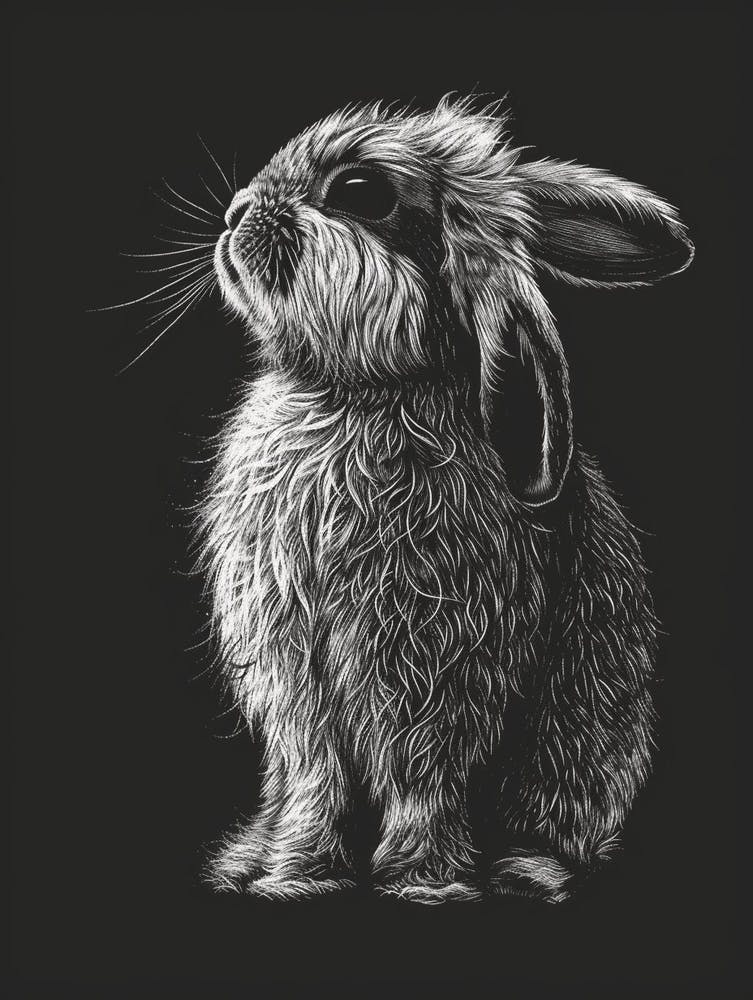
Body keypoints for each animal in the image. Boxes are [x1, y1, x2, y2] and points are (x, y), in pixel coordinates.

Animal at [199, 96, 693, 903]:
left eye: (361, 191)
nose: (237, 212)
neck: (360, 390)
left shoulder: (435, 669)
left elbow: (421, 778)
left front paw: (420, 884)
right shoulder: (294, 674)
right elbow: (316, 779)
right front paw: (297, 876)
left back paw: (525, 875)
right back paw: (242, 861)